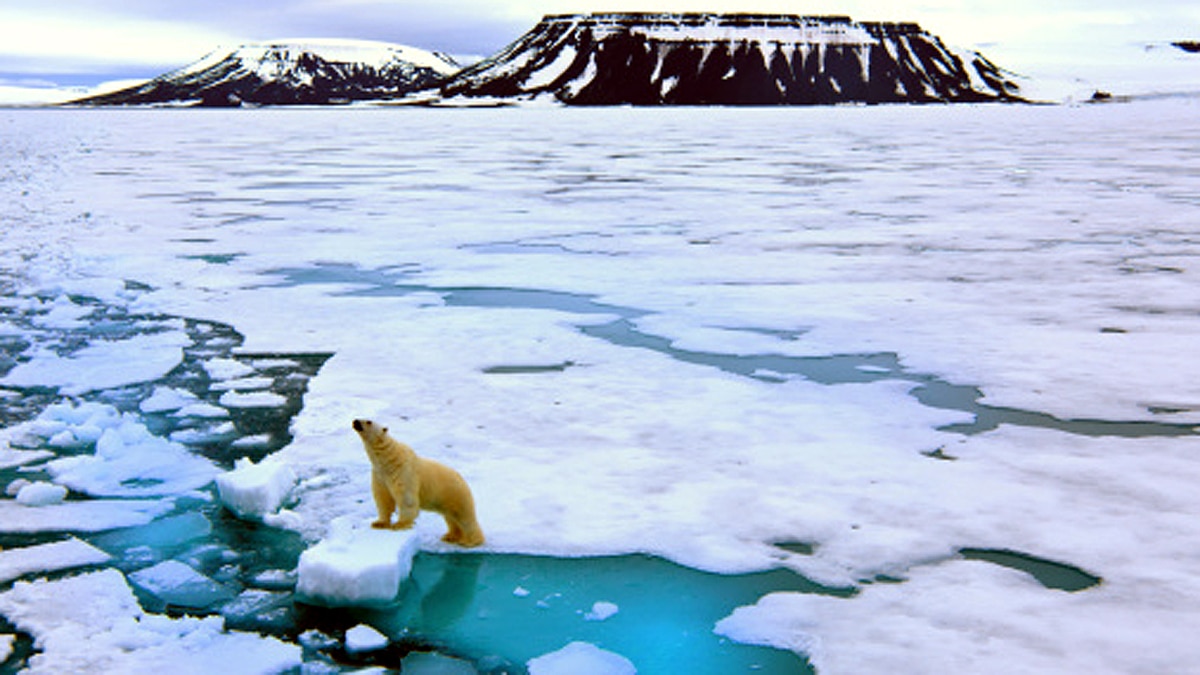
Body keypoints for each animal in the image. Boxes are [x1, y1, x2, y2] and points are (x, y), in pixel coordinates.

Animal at [351, 418, 485, 548]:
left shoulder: (403, 471)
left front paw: (400, 524)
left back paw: (470, 541)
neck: (388, 459)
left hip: (455, 494)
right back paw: (450, 536)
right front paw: (378, 523)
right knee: (451, 518)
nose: (355, 421)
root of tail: (463, 479)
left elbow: (406, 499)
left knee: (464, 517)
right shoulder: (380, 475)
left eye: (369, 421)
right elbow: (383, 498)